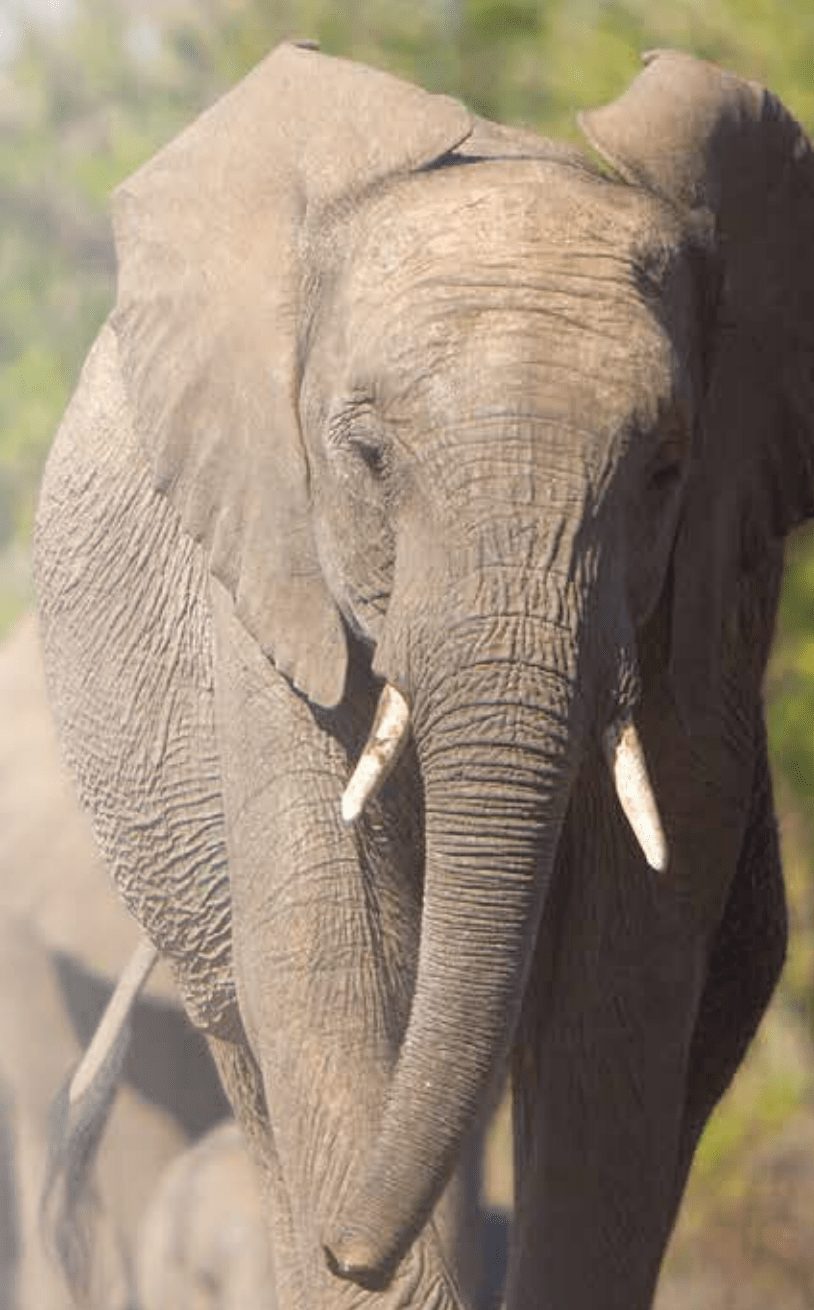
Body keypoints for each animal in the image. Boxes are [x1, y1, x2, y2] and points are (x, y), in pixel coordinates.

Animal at [33, 40, 814, 1310]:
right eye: (366, 455)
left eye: (663, 469)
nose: (349, 1244)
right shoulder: (267, 574)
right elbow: (329, 959)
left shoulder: (712, 601)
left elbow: (623, 986)